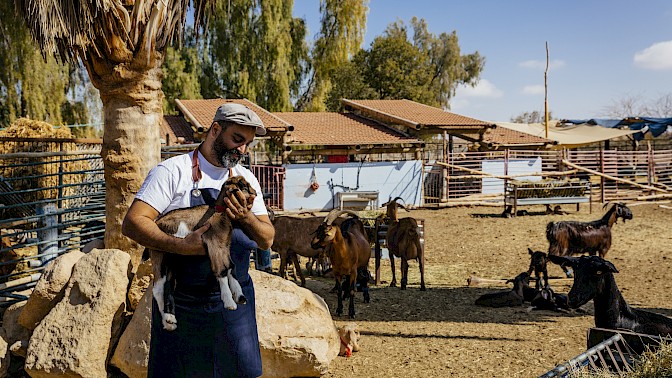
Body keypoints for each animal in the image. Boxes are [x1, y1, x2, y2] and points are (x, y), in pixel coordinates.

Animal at [148, 176, 255, 330]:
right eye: (244, 187)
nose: (255, 194)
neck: (219, 212)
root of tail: (157, 223)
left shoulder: (224, 246)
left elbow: (231, 267)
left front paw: (239, 296)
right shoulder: (214, 244)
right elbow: (221, 270)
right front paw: (229, 302)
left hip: (173, 258)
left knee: (168, 284)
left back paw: (170, 320)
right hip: (160, 254)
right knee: (158, 288)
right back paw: (168, 320)